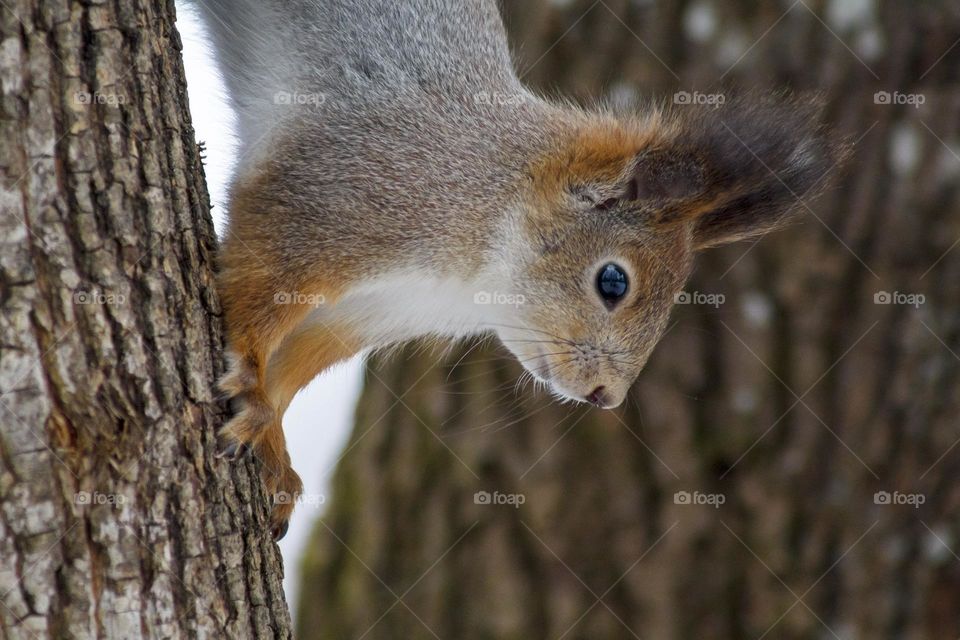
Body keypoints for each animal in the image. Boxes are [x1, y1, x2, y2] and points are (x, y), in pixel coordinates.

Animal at [187, 0, 846, 539]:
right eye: (613, 281)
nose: (606, 397)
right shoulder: (337, 200)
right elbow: (257, 279)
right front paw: (251, 390)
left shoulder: (358, 315)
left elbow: (292, 367)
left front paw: (275, 452)